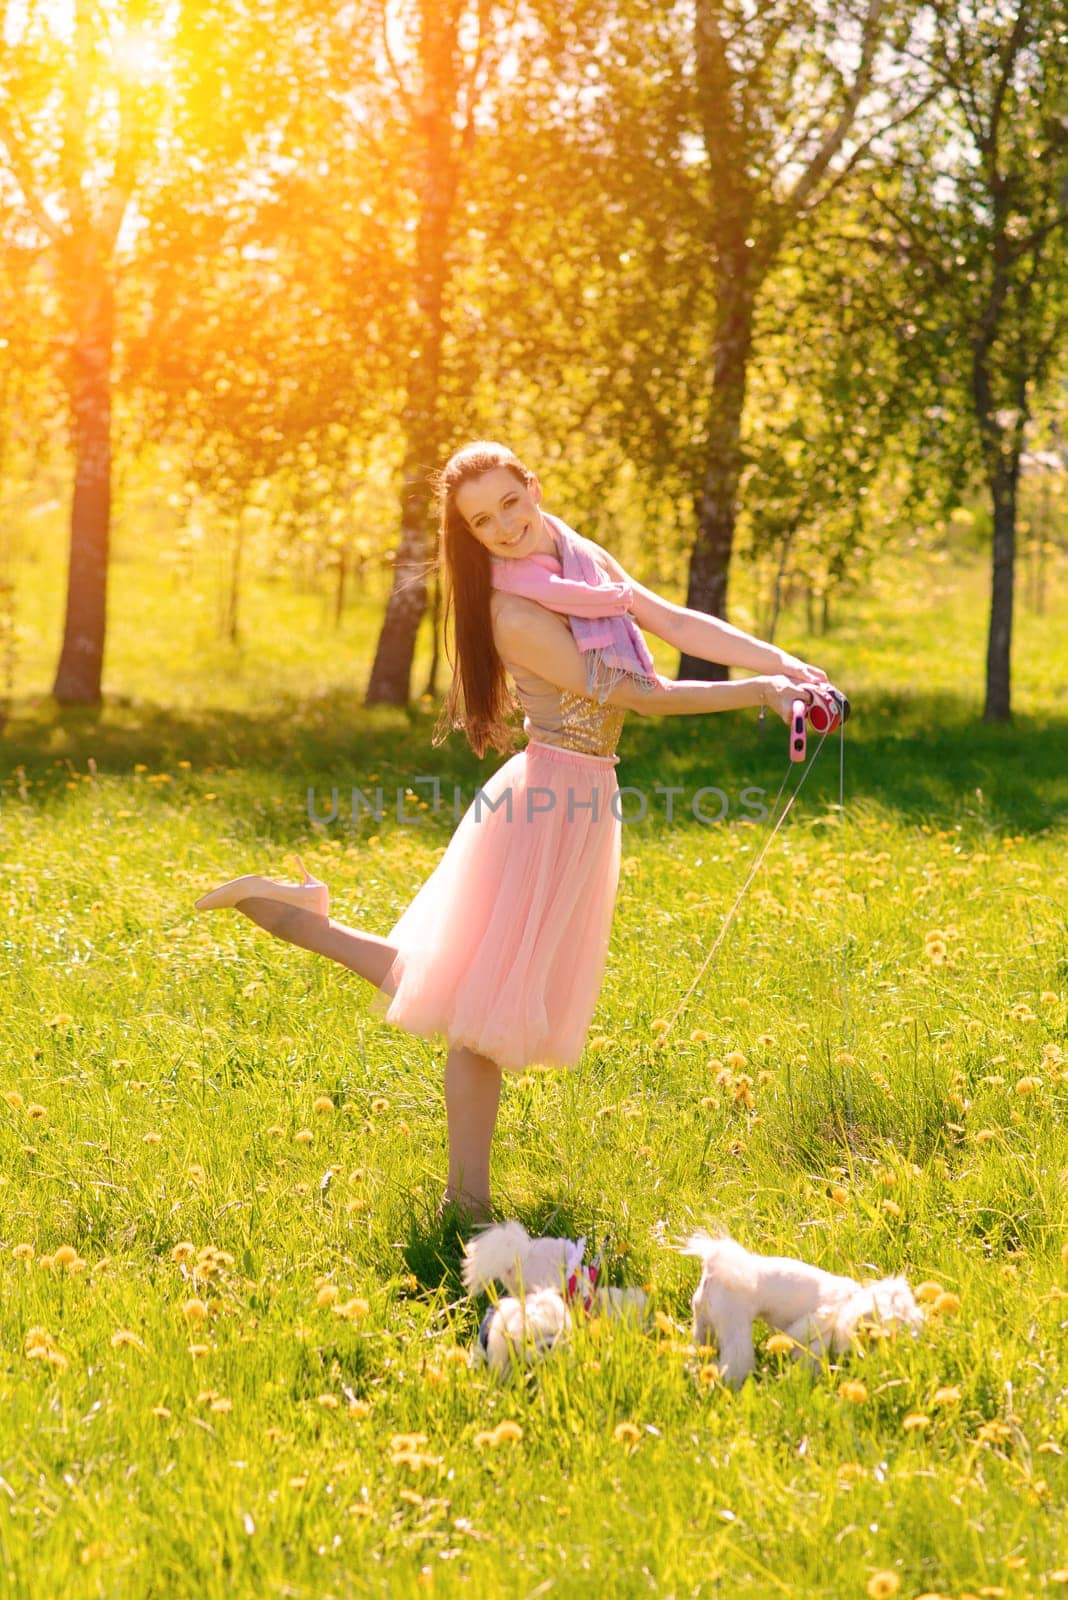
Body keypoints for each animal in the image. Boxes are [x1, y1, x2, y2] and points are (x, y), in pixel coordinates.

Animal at [684, 1235, 927, 1388]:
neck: (852, 1302)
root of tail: (716, 1268)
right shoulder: (816, 1337)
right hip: (734, 1328)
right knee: (734, 1364)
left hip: (704, 1326)